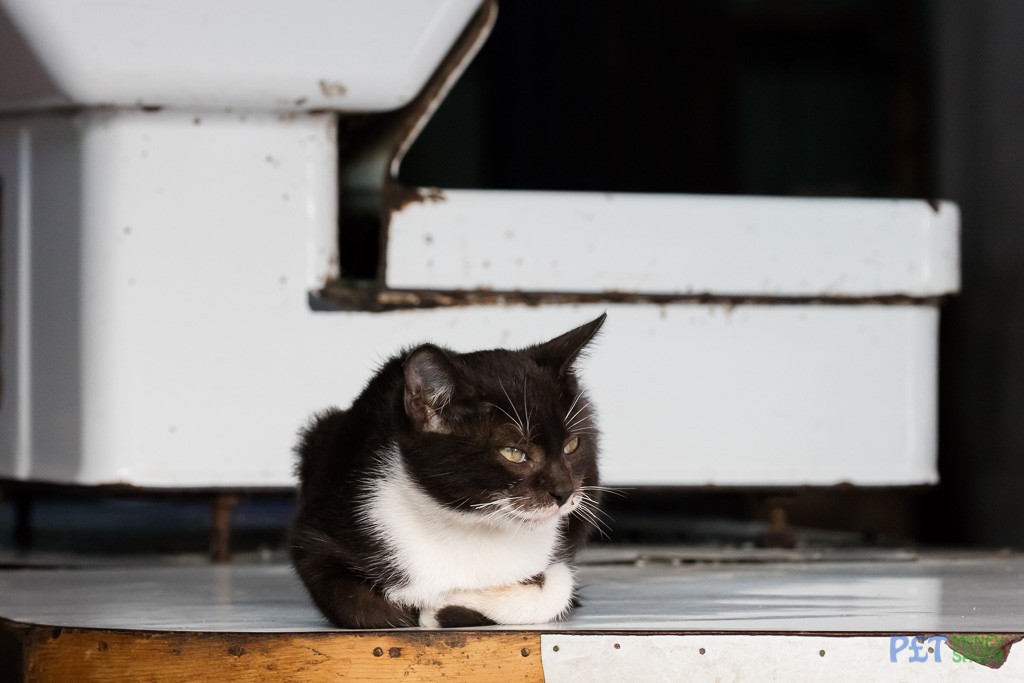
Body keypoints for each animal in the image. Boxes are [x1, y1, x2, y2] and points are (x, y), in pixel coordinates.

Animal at [290, 313, 606, 626]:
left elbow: (558, 587)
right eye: (513, 452)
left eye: (572, 445)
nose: (564, 492)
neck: (470, 527)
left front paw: (444, 609)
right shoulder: (320, 530)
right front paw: (419, 610)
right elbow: (362, 607)